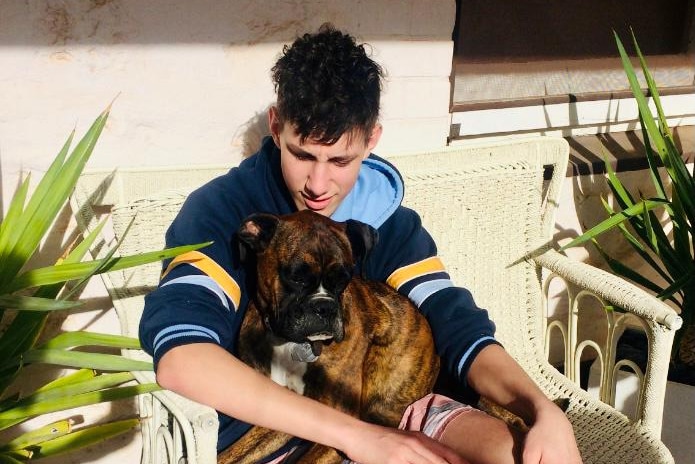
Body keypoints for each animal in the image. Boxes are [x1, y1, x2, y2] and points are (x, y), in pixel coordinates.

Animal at [220, 211, 440, 464]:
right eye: (297, 278)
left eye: (343, 280)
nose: (325, 307)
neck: (290, 344)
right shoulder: (283, 409)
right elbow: (231, 455)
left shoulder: (342, 421)